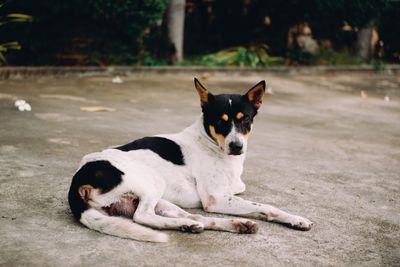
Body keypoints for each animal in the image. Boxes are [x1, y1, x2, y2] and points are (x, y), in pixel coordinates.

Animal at [68, 78, 312, 244]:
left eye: (246, 120)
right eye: (220, 122)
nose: (236, 146)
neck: (210, 142)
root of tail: (79, 176)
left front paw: (296, 219)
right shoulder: (215, 199)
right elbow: (267, 206)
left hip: (159, 199)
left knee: (196, 217)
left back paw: (226, 225)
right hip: (153, 181)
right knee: (143, 217)